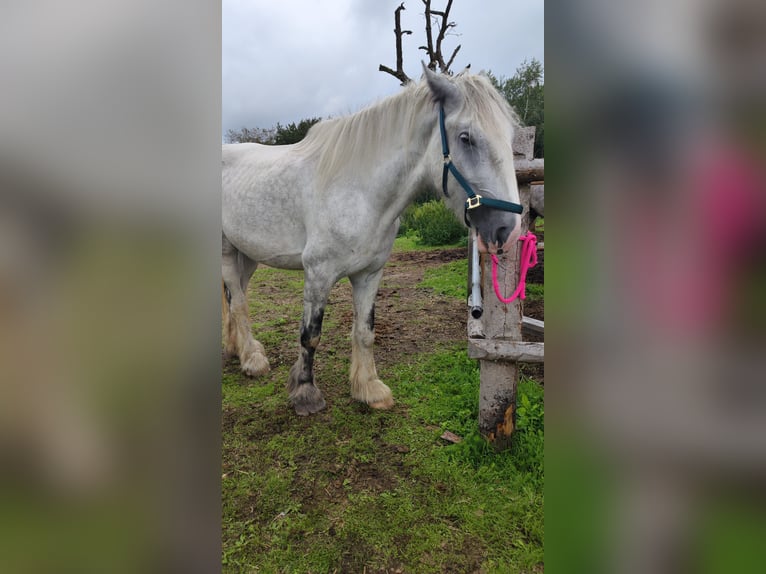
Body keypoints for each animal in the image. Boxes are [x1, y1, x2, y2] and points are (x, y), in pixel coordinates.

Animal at [222, 66, 523, 416]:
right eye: (466, 138)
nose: (509, 230)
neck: (359, 192)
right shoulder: (318, 273)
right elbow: (310, 335)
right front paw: (306, 393)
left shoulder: (369, 273)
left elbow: (365, 331)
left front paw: (368, 389)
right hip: (228, 253)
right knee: (239, 301)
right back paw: (252, 359)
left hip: (248, 254)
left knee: (234, 297)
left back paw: (238, 349)